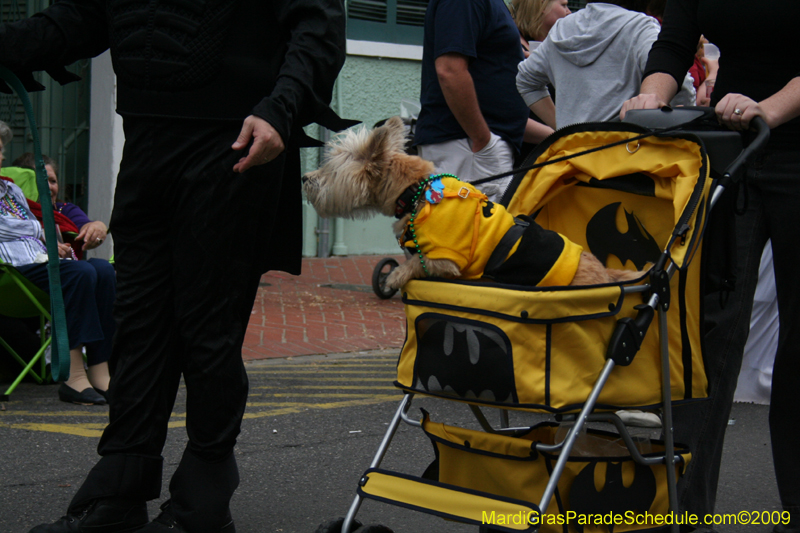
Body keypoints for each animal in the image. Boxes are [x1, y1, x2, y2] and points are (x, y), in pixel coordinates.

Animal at [304, 116, 648, 288]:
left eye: (330, 170)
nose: (305, 178)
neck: (418, 192)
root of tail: (605, 275)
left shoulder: (447, 259)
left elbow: (417, 263)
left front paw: (394, 277)